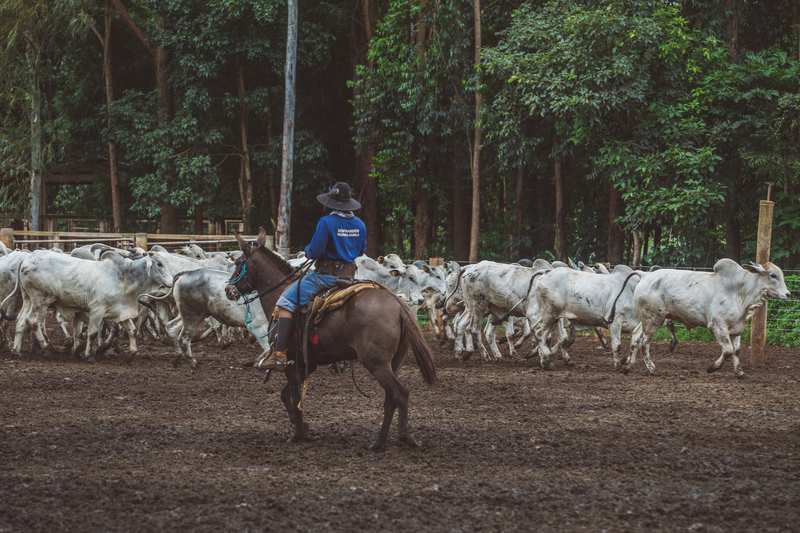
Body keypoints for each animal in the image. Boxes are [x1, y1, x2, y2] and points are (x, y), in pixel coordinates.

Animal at [223, 229, 438, 448]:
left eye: (239, 263)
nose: (228, 290)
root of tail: (399, 305)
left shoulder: (291, 364)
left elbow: (295, 396)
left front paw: (297, 434)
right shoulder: (307, 364)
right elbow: (286, 395)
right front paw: (302, 425)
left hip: (376, 363)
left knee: (400, 394)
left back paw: (403, 436)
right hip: (394, 363)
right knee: (390, 398)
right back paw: (378, 442)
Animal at [624, 258, 788, 378]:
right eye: (773, 275)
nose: (788, 294)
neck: (739, 291)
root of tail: (645, 275)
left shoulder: (736, 329)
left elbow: (736, 351)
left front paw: (740, 372)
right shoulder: (718, 326)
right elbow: (728, 350)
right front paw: (712, 368)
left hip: (648, 319)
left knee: (636, 336)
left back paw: (627, 366)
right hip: (653, 319)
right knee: (644, 343)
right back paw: (653, 370)